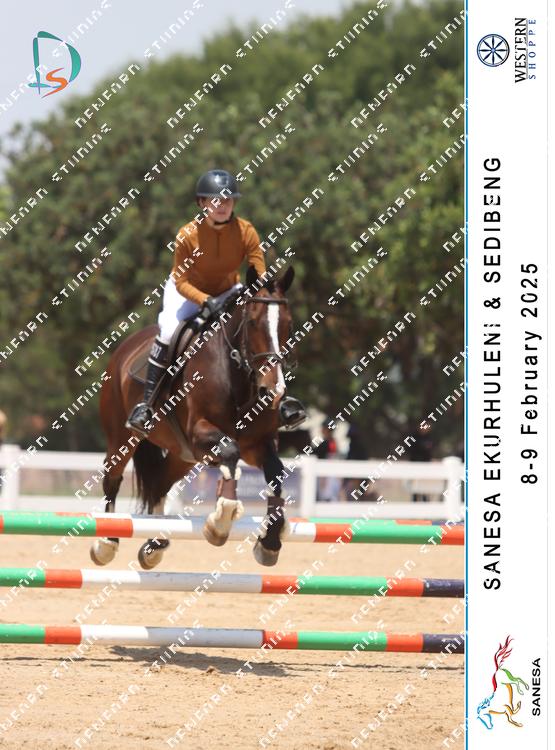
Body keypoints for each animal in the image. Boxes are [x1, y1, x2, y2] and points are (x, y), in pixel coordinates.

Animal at [90, 265, 296, 569]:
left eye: (288, 325)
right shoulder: (201, 433)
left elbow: (275, 473)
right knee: (112, 479)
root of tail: (126, 347)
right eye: (252, 323)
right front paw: (220, 522)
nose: (273, 390)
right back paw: (106, 542)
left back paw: (155, 544)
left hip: (183, 456)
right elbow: (230, 452)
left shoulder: (257, 444)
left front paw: (269, 542)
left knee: (160, 483)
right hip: (122, 437)